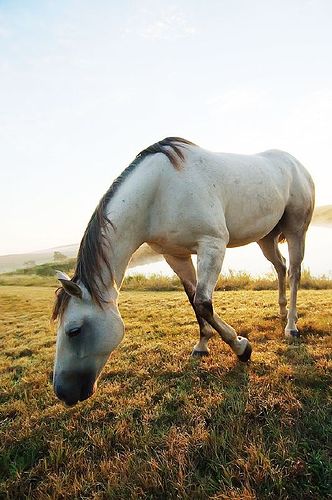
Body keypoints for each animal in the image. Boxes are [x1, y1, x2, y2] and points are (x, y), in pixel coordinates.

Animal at [52, 137, 314, 406]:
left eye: (74, 331)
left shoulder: (212, 245)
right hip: (266, 237)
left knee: (294, 273)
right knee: (281, 267)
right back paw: (282, 311)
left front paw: (242, 348)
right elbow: (193, 300)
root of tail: (295, 163)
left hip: (296, 230)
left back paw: (291, 326)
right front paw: (202, 345)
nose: (63, 392)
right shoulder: (175, 255)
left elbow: (203, 303)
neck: (159, 191)